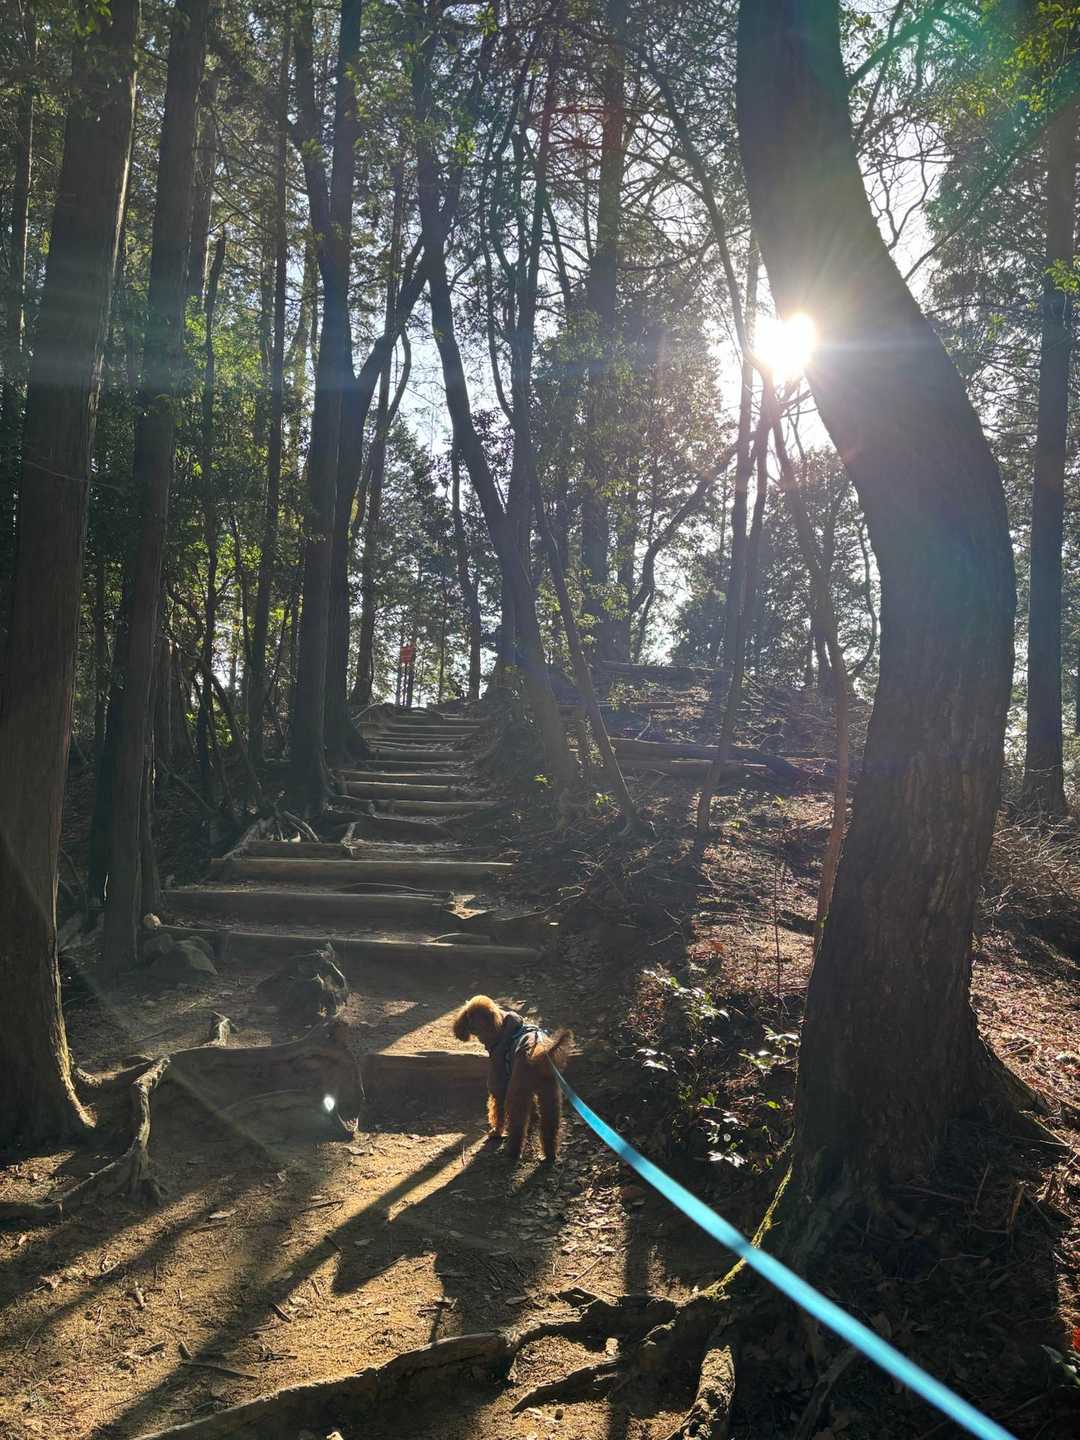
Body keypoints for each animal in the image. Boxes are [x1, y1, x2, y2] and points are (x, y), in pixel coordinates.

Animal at [452, 995, 572, 1161]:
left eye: (468, 1015)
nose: (459, 1029)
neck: (501, 1029)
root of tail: (539, 1053)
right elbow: (532, 1109)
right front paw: (533, 1119)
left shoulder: (499, 1084)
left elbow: (497, 1112)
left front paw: (496, 1132)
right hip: (549, 1096)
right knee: (550, 1127)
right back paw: (550, 1155)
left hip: (517, 1093)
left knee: (517, 1126)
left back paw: (513, 1152)